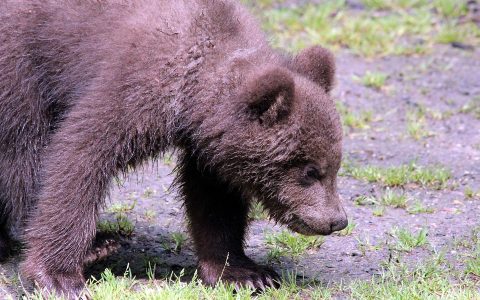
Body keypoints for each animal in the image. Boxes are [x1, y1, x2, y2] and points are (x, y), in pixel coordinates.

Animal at [0, 0, 344, 296]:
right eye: (310, 170)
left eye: (335, 166)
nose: (337, 220)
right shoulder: (134, 85)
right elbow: (77, 157)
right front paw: (59, 276)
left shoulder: (209, 145)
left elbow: (214, 201)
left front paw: (244, 273)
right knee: (22, 149)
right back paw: (96, 243)